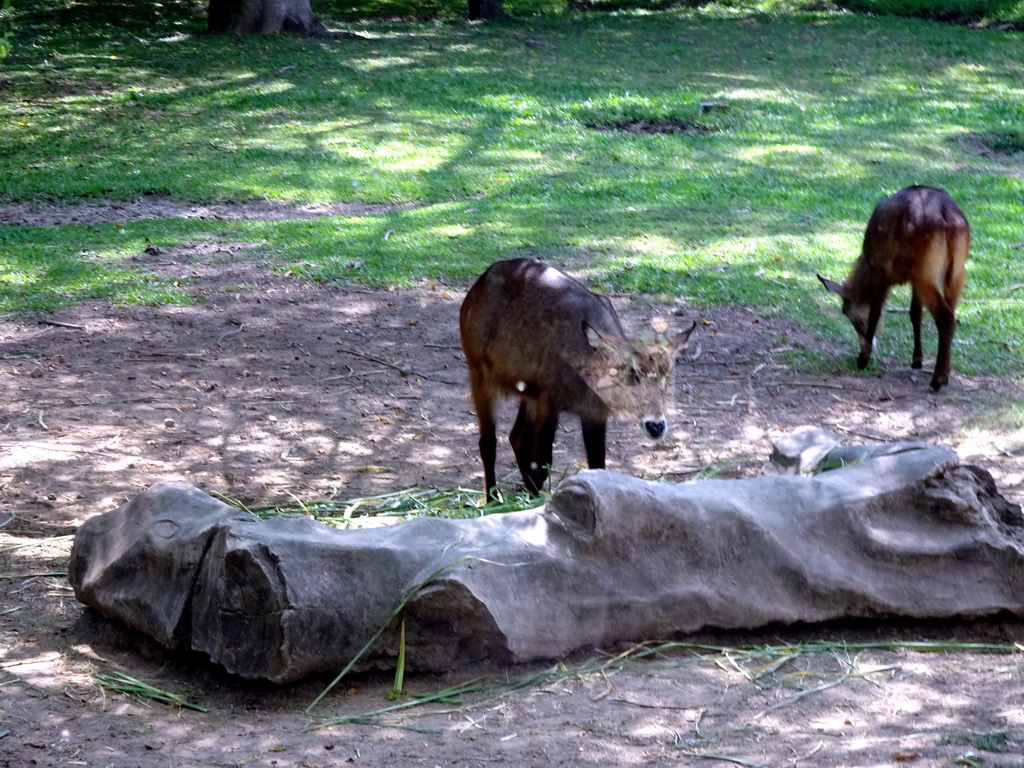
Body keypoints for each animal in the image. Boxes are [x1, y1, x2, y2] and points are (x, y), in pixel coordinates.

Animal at [462, 256, 696, 501]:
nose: (656, 426)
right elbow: (543, 463)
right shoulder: (549, 402)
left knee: (517, 438)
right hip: (481, 376)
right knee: (488, 443)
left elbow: (598, 465)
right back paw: (492, 500)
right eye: (632, 373)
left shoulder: (594, 413)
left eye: (667, 375)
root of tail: (482, 280)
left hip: (528, 393)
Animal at [815, 185, 966, 391]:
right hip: (956, 274)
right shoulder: (913, 281)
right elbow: (914, 313)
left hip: (928, 274)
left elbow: (875, 313)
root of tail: (949, 219)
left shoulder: (881, 275)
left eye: (844, 310)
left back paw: (937, 380)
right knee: (951, 313)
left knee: (946, 318)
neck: (866, 261)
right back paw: (945, 375)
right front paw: (916, 360)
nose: (870, 346)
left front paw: (863, 359)